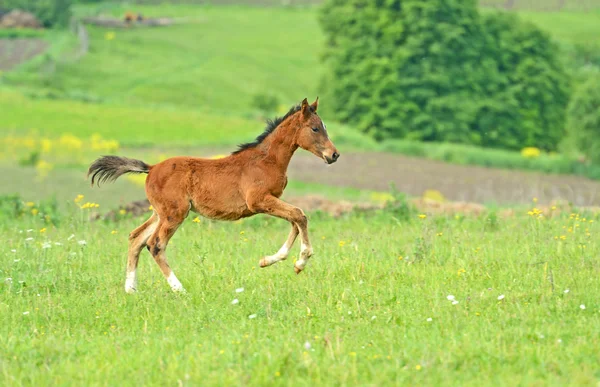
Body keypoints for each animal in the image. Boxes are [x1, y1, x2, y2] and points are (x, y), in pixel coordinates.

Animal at [86, 98, 340, 294]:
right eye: (315, 128)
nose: (334, 155)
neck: (267, 159)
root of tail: (152, 168)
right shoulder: (258, 201)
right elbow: (299, 215)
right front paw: (301, 260)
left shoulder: (272, 200)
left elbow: (296, 220)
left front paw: (270, 261)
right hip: (175, 213)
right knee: (155, 244)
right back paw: (179, 289)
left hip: (160, 213)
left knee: (136, 238)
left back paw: (131, 288)